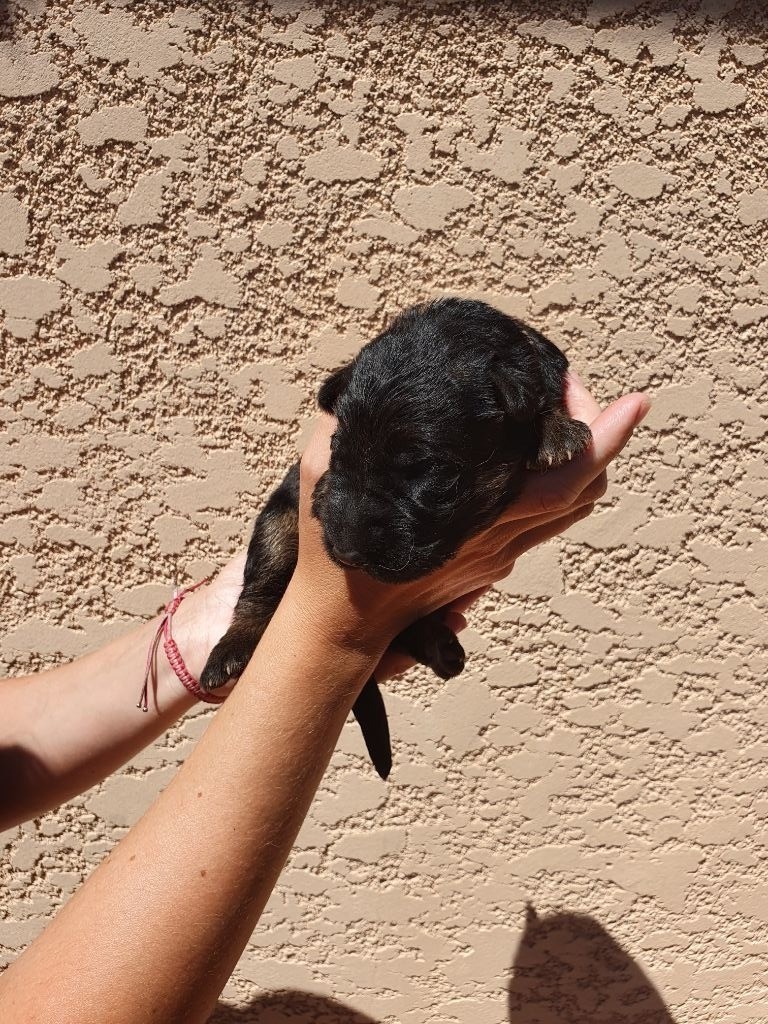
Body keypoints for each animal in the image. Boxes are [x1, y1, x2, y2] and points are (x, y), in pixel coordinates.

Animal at [200, 298, 591, 778]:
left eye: (422, 470)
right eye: (337, 450)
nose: (346, 553)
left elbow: (543, 399)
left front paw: (556, 432)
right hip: (276, 525)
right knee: (259, 589)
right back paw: (231, 649)